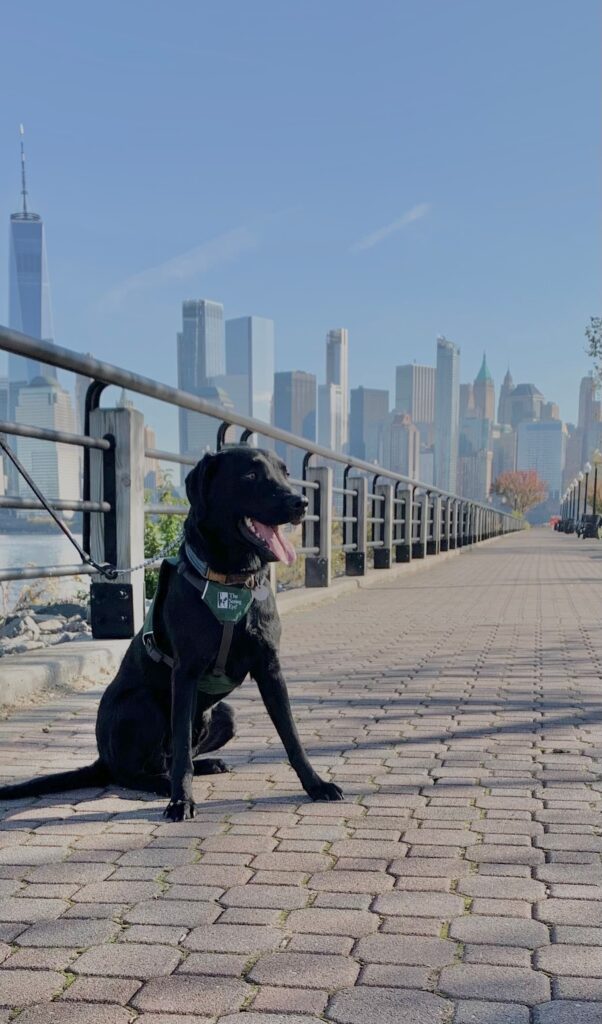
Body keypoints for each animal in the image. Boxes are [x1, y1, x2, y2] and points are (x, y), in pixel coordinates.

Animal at [0, 444, 344, 819]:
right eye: (250, 474)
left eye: (284, 472)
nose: (301, 502)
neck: (231, 580)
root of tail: (102, 758)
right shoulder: (186, 673)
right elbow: (180, 749)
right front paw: (182, 800)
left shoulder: (270, 667)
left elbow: (292, 737)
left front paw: (316, 784)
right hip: (144, 703)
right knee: (133, 772)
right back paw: (162, 784)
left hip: (225, 713)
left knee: (174, 756)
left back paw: (207, 765)